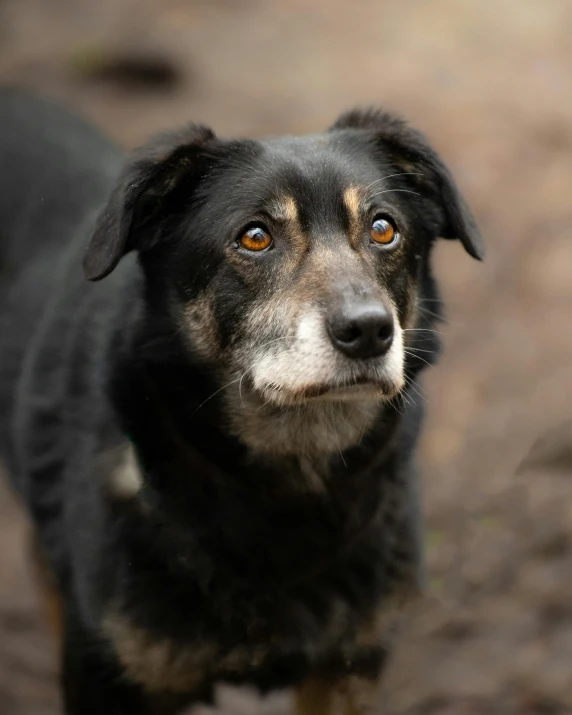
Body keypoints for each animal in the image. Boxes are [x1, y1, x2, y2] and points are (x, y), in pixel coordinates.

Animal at [0, 89, 482, 715]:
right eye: (255, 237)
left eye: (383, 229)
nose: (369, 331)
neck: (289, 491)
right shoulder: (109, 678)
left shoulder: (348, 667)